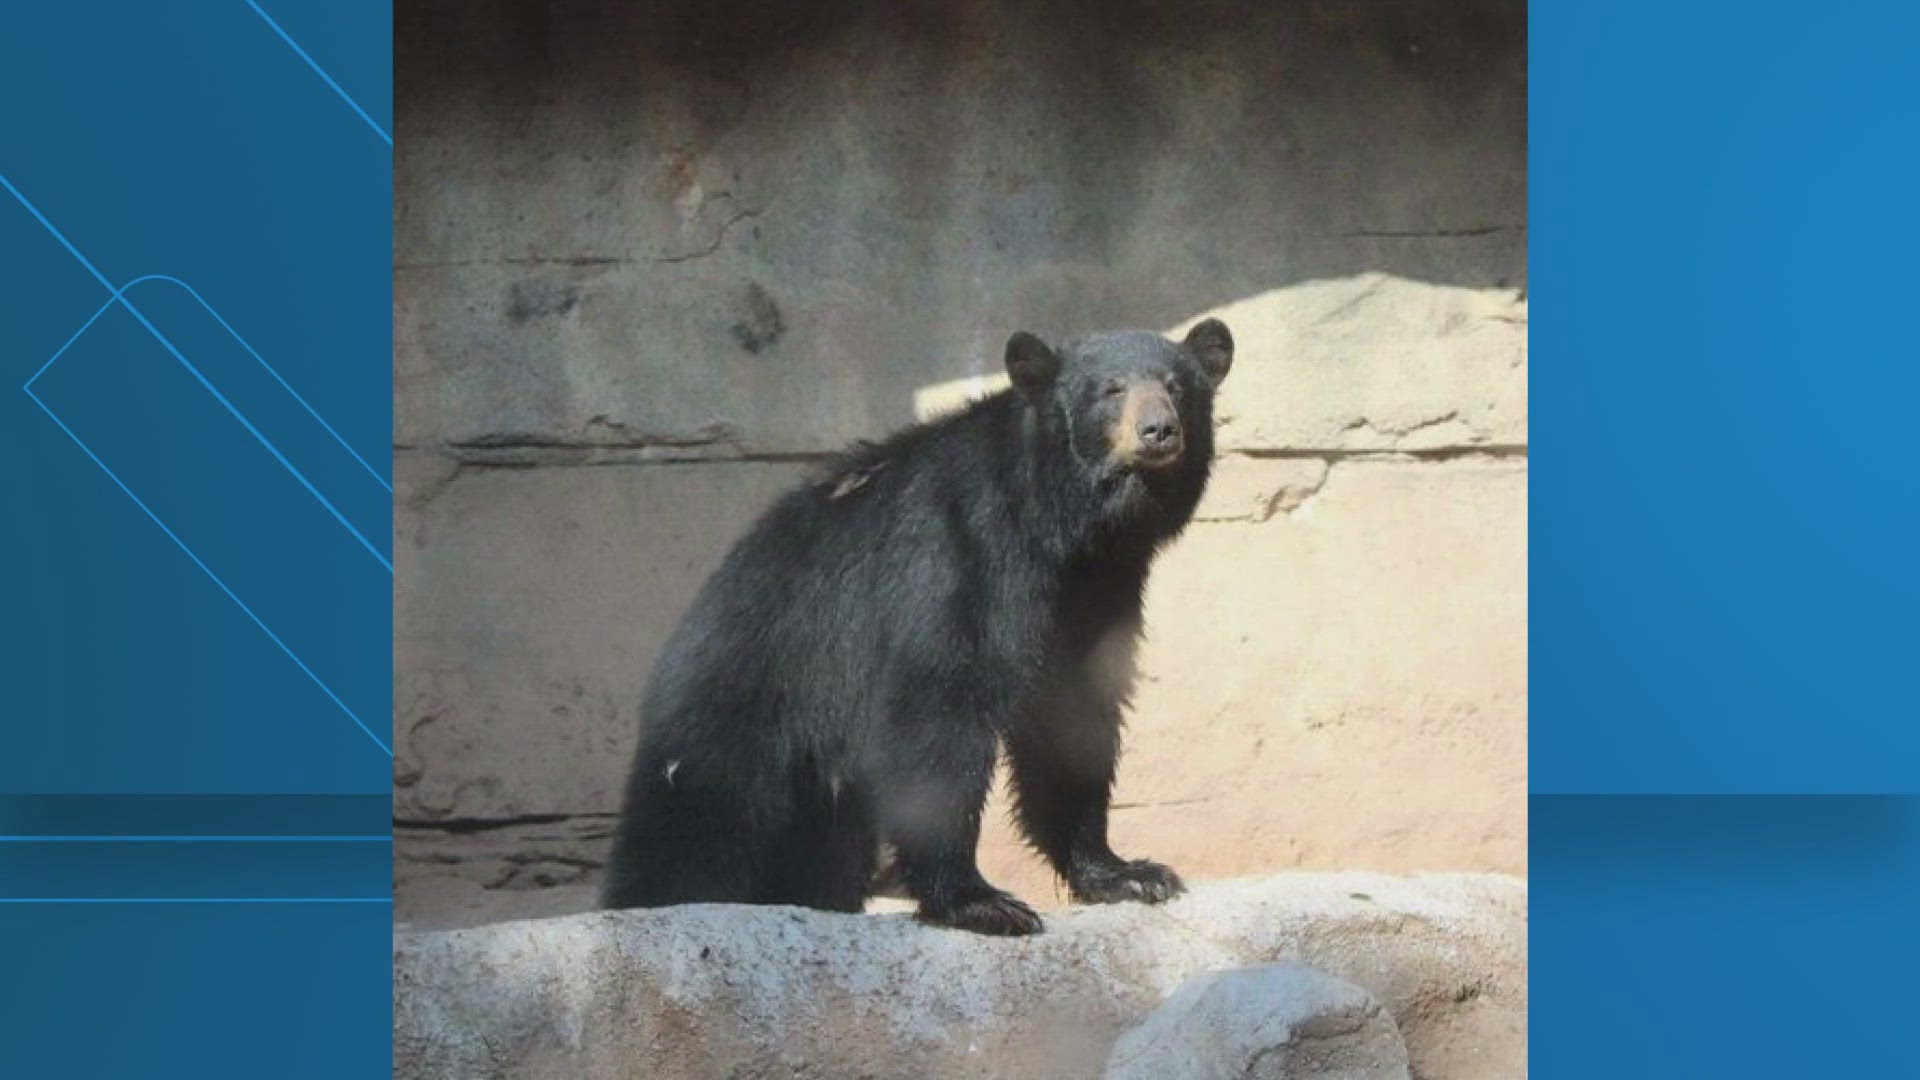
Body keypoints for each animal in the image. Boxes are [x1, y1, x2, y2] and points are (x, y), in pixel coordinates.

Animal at [599, 315, 1228, 930]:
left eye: (1177, 387)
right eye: (1110, 390)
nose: (1158, 430)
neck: (1067, 525)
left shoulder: (1098, 588)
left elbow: (1072, 712)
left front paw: (1129, 874)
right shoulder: (960, 555)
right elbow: (940, 705)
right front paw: (980, 902)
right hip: (744, 702)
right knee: (695, 827)